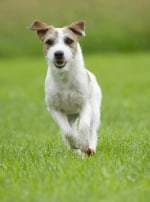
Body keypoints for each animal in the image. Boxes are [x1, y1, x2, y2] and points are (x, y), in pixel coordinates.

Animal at [27, 20, 101, 156]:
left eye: (69, 41)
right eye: (49, 42)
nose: (58, 53)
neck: (65, 78)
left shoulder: (85, 105)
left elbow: (84, 126)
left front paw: (83, 143)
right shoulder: (55, 109)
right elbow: (67, 132)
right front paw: (75, 143)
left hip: (95, 111)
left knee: (92, 130)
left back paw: (90, 148)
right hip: (70, 116)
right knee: (71, 128)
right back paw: (77, 151)